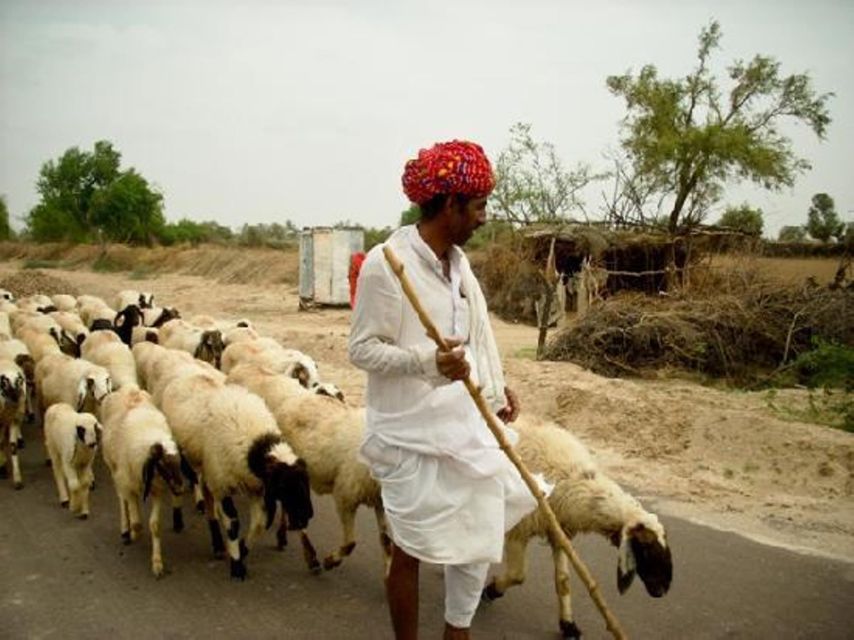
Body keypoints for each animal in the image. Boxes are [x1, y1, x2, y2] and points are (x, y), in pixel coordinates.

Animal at [101, 388, 186, 576]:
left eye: (179, 462)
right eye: (162, 463)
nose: (180, 488)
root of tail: (128, 389)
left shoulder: (157, 490)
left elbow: (154, 525)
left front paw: (157, 562)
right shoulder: (128, 483)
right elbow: (137, 523)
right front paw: (134, 533)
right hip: (114, 469)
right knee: (122, 499)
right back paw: (126, 528)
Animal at [160, 370, 314, 580]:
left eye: (307, 482)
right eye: (284, 486)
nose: (307, 515)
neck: (254, 446)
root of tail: (187, 376)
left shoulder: (257, 489)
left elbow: (260, 524)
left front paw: (241, 549)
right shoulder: (223, 485)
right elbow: (233, 523)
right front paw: (237, 565)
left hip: (209, 471)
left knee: (208, 497)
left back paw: (217, 544)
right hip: (188, 457)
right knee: (189, 483)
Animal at [227, 362, 388, 572]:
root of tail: (243, 368)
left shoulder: (379, 500)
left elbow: (386, 543)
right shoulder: (345, 495)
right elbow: (350, 543)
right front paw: (330, 561)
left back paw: (285, 537)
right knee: (295, 513)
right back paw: (310, 555)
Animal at [484, 420, 672, 640]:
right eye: (644, 548)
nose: (661, 591)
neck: (571, 479)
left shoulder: (559, 531)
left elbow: (563, 581)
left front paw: (568, 625)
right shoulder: (520, 528)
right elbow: (517, 575)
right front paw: (491, 591)